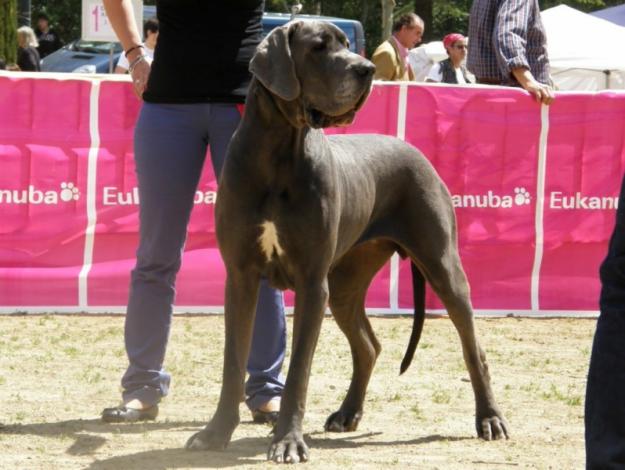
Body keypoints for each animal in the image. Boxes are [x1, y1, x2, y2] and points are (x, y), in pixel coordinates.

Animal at [185, 20, 508, 460]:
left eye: (343, 44)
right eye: (318, 47)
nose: (367, 69)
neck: (278, 152)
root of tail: (414, 151)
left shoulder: (311, 283)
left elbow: (298, 370)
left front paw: (288, 441)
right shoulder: (241, 276)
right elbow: (233, 362)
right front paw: (216, 433)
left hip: (442, 266)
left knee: (474, 348)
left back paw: (489, 418)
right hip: (344, 284)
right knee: (368, 345)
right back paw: (347, 412)